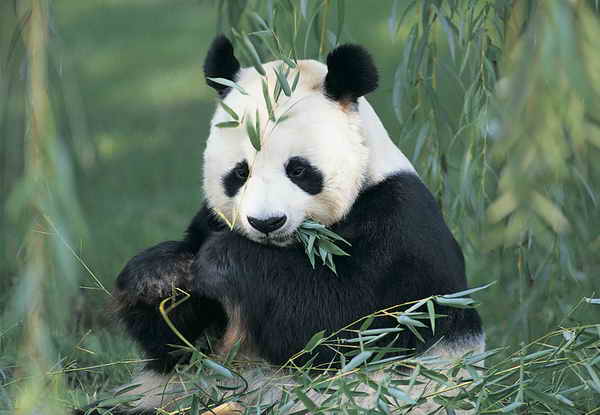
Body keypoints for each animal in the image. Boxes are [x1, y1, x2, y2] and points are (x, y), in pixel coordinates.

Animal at [76, 35, 488, 415]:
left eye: (299, 170)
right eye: (239, 173)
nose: (267, 222)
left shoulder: (399, 228)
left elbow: (342, 324)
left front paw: (223, 260)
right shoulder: (208, 220)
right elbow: (181, 346)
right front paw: (160, 276)